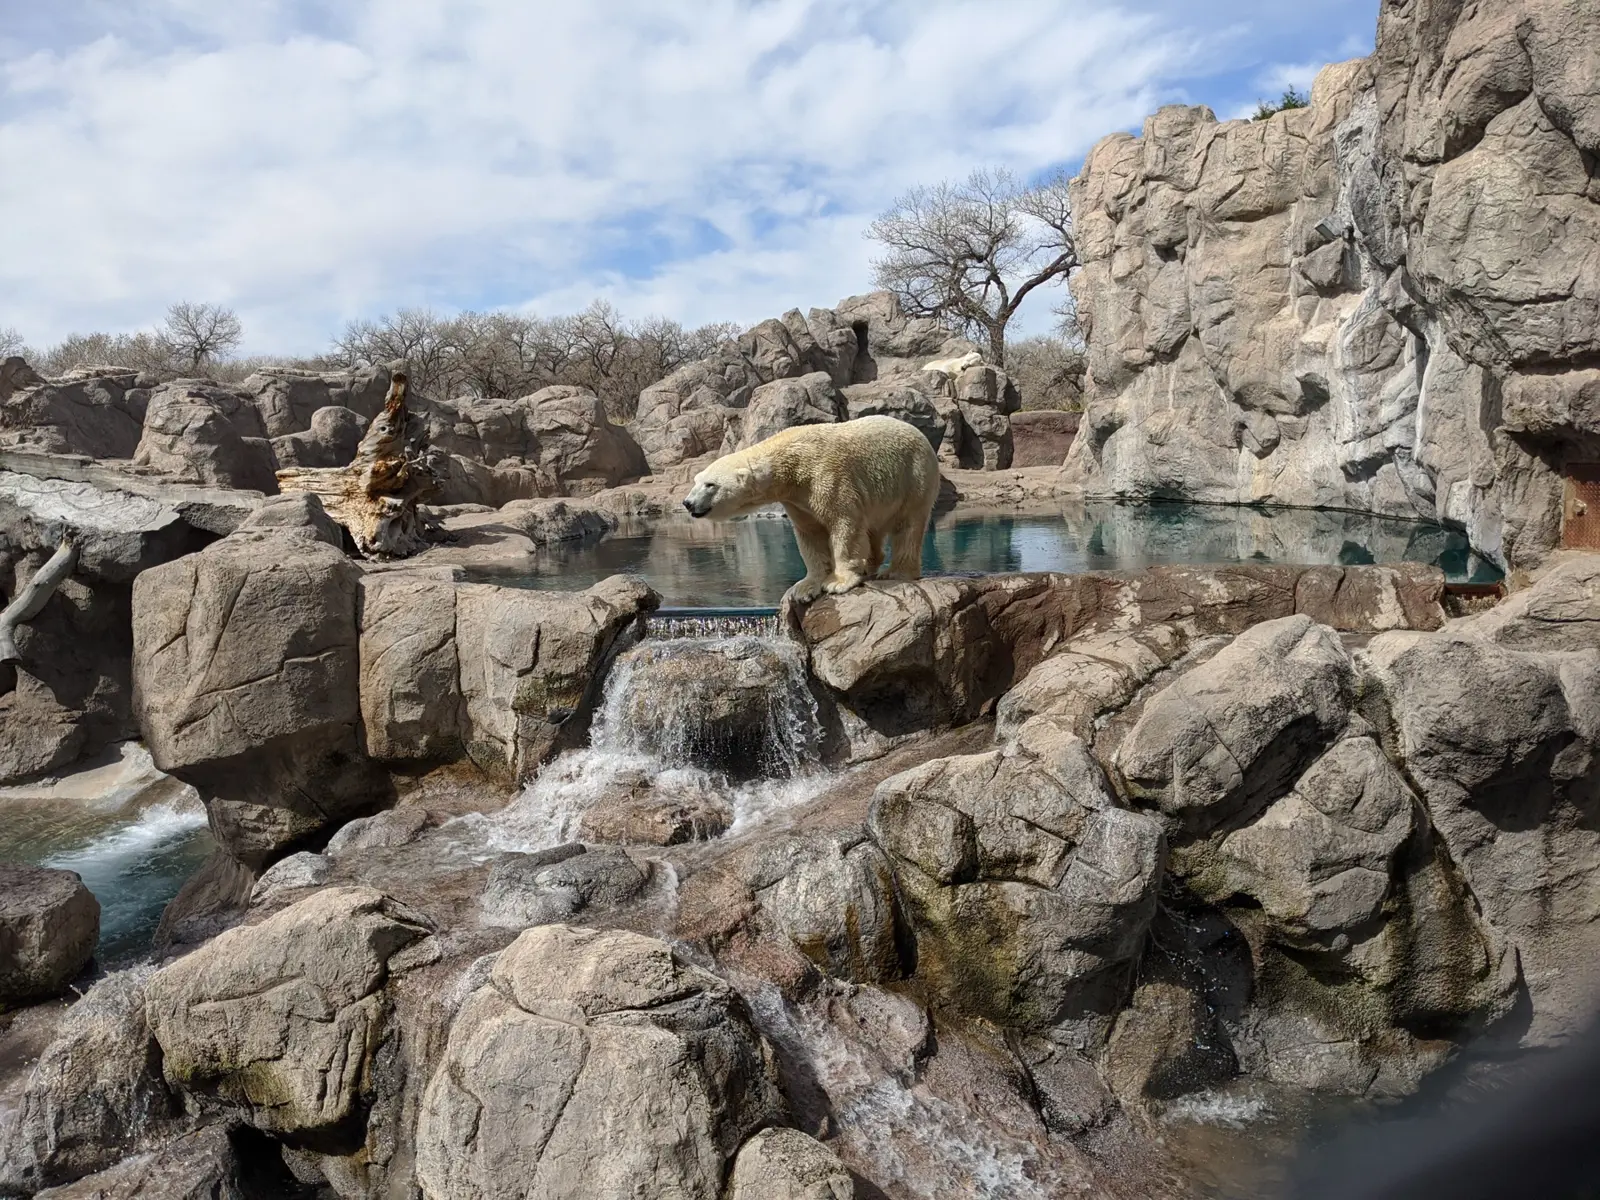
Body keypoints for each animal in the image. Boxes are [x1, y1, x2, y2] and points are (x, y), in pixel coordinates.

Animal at [681, 415, 941, 602]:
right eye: (696, 480)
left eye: (710, 484)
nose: (688, 503)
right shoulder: (797, 500)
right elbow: (810, 535)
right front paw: (804, 588)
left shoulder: (826, 476)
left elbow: (843, 524)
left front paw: (838, 582)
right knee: (873, 532)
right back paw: (870, 565)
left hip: (913, 477)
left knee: (908, 525)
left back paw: (895, 572)